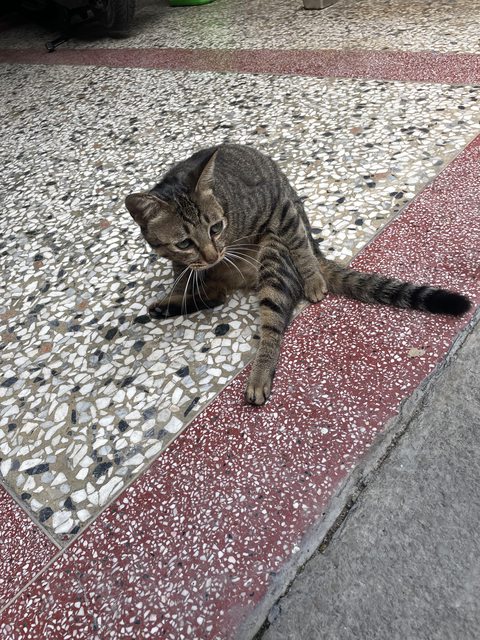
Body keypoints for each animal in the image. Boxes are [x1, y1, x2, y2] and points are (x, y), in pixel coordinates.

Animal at [125, 143, 471, 405]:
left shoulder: (279, 206)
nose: (213, 255)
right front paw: (179, 289)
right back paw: (168, 305)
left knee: (272, 324)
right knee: (214, 295)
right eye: (184, 243)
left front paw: (314, 280)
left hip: (273, 258)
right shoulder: (183, 261)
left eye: (216, 227)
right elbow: (186, 274)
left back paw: (261, 371)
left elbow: (299, 245)